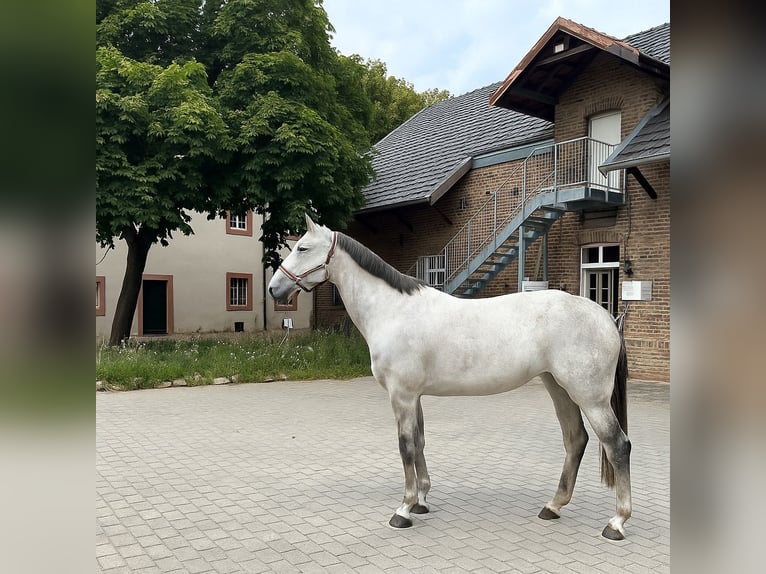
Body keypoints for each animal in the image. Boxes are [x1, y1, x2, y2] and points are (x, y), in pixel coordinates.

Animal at [268, 215, 631, 540]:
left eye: (302, 247)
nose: (274, 289)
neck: (393, 310)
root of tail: (607, 317)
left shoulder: (401, 395)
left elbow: (405, 446)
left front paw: (404, 509)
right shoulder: (413, 396)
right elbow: (419, 442)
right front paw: (422, 501)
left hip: (591, 398)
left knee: (617, 444)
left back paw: (616, 522)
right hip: (558, 388)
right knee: (575, 440)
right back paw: (553, 506)